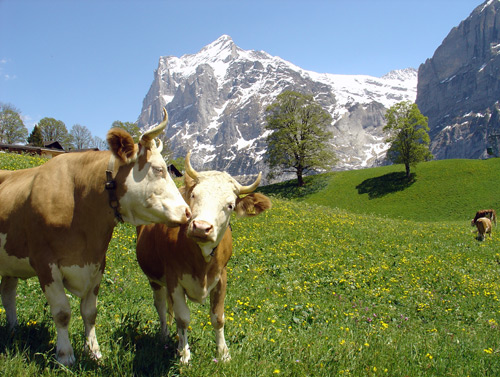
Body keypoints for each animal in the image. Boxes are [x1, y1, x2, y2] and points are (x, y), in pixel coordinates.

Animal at [0, 108, 191, 364]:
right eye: (159, 169)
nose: (187, 212)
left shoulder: (97, 262)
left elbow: (90, 312)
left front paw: (94, 351)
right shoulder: (45, 264)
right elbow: (62, 312)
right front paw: (65, 355)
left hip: (10, 264)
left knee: (8, 293)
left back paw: (13, 329)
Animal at [135, 151, 272, 362]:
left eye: (230, 205)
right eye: (194, 195)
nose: (201, 227)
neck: (202, 258)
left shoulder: (221, 277)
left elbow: (218, 318)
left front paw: (223, 353)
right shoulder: (174, 279)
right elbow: (183, 318)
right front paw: (184, 354)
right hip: (155, 279)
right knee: (161, 307)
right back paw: (165, 336)